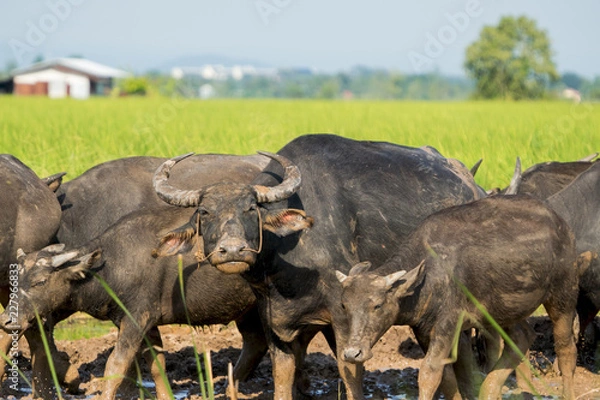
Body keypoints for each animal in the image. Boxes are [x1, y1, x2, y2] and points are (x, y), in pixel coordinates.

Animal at [0, 206, 268, 400]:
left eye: (40, 281)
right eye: (16, 279)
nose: (7, 320)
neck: (112, 265)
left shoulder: (136, 319)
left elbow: (116, 365)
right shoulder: (147, 325)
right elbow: (157, 366)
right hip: (249, 311)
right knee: (255, 343)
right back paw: (229, 389)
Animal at [150, 134, 488, 396]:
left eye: (251, 209)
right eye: (205, 213)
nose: (232, 250)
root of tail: (470, 184)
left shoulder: (344, 317)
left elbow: (350, 372)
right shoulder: (274, 320)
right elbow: (282, 375)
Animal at [338, 196, 580, 400]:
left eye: (377, 305)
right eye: (344, 306)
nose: (352, 353)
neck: (429, 274)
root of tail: (562, 226)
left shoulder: (449, 325)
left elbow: (429, 373)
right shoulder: (424, 331)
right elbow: (446, 377)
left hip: (563, 296)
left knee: (565, 349)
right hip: (505, 310)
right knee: (522, 337)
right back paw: (489, 390)